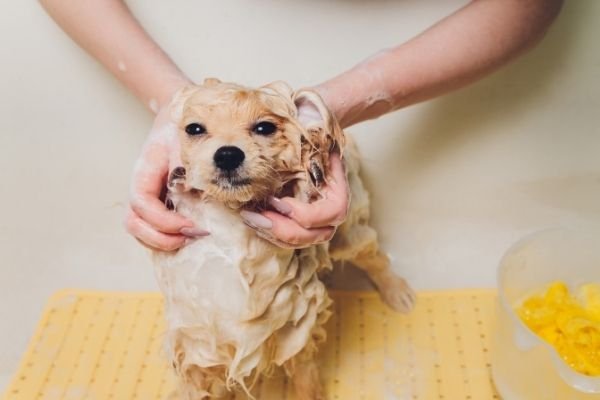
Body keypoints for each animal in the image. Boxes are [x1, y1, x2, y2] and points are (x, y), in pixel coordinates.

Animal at [152, 79, 414, 400]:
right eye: (194, 128)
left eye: (264, 127)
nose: (227, 154)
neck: (231, 227)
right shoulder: (195, 339)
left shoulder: (298, 321)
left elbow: (305, 376)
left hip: (349, 230)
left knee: (374, 258)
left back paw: (397, 292)